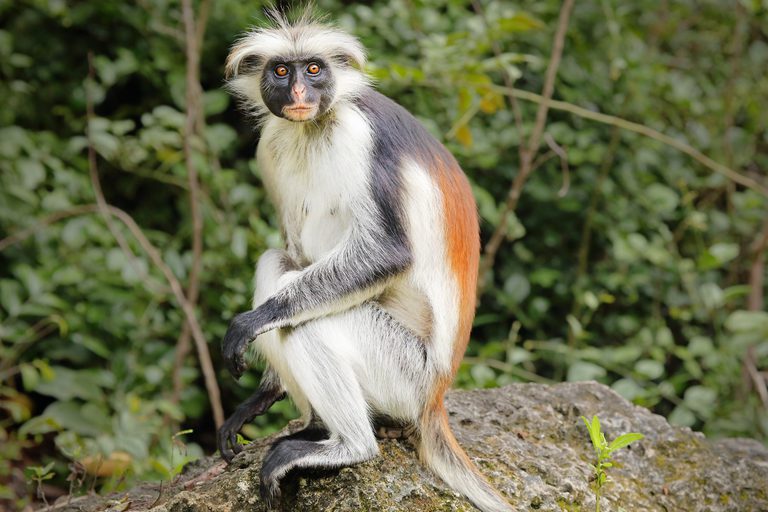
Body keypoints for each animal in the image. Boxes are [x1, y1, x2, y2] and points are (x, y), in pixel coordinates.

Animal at [216, 10, 512, 512]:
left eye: (314, 69)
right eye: (282, 71)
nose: (300, 93)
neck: (317, 126)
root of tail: (435, 399)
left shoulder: (361, 135)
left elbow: (387, 253)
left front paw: (250, 323)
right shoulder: (271, 145)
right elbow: (295, 253)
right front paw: (262, 395)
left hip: (405, 374)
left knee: (307, 322)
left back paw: (349, 447)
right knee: (279, 264)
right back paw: (316, 424)